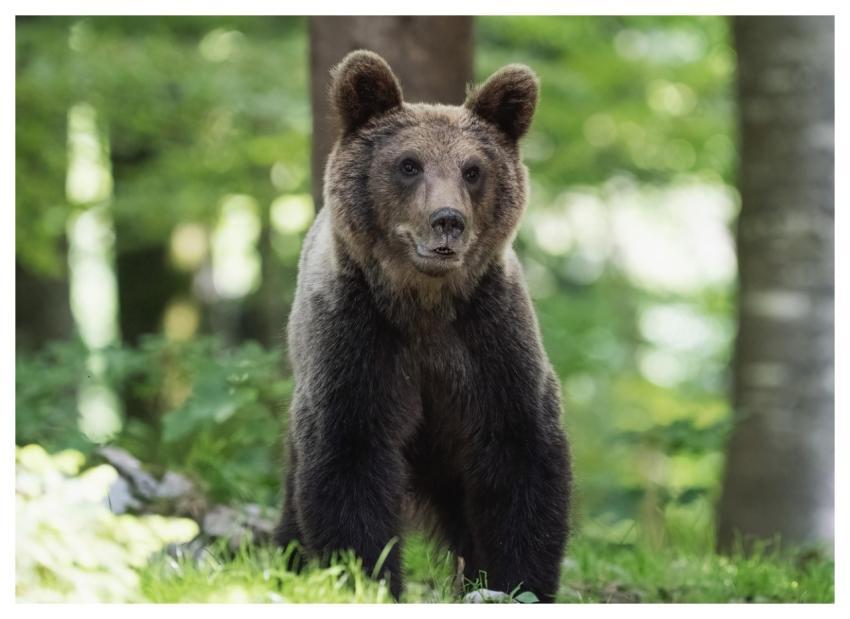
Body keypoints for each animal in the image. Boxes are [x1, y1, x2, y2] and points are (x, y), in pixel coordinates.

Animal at [275, 50, 571, 603]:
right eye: (408, 164)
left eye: (473, 169)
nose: (448, 220)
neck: (425, 306)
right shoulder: (357, 341)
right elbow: (350, 458)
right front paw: (366, 575)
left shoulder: (490, 341)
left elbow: (521, 454)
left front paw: (518, 580)